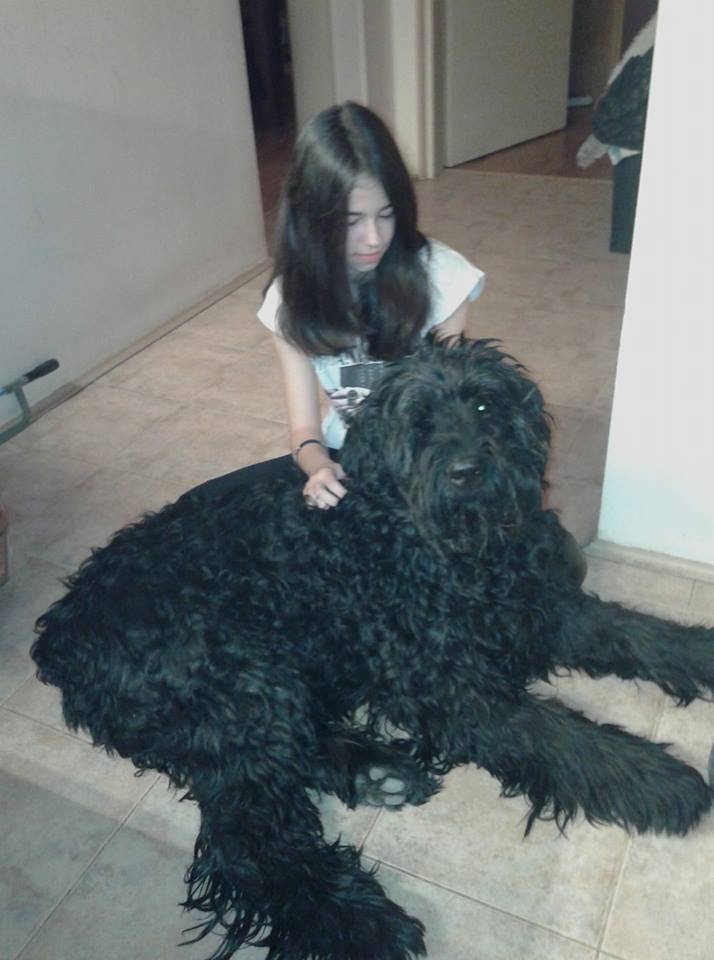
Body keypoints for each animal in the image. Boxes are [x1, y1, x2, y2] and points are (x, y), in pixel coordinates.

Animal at [31, 337, 714, 960]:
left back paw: (375, 771)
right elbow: (561, 736)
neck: (448, 553)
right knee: (249, 834)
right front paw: (660, 779)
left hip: (266, 686)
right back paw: (359, 921)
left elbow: (636, 632)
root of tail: (61, 631)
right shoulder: (450, 688)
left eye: (484, 405)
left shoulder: (542, 609)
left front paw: (697, 651)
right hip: (244, 682)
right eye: (419, 422)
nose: (467, 472)